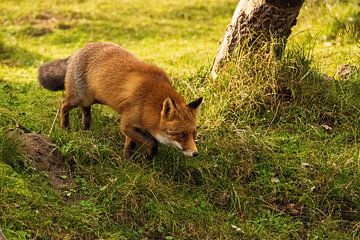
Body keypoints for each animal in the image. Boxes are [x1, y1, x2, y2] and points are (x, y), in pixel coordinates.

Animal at [39, 41, 204, 158]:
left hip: (89, 100)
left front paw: (127, 160)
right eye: (181, 135)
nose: (195, 153)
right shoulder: (127, 124)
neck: (149, 103)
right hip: (80, 97)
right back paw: (65, 128)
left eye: (194, 134)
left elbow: (130, 145)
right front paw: (148, 156)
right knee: (63, 104)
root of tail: (79, 49)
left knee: (85, 112)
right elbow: (152, 142)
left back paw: (85, 129)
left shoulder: (135, 126)